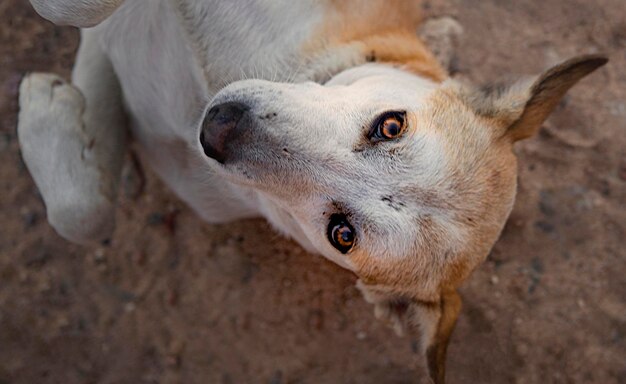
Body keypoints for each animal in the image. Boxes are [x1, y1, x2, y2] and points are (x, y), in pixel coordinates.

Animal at [18, 1, 604, 382]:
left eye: (341, 233)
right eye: (391, 125)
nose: (220, 127)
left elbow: (84, 215)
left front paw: (46, 103)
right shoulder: (111, 46)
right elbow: (80, 16)